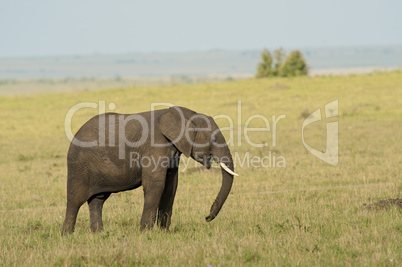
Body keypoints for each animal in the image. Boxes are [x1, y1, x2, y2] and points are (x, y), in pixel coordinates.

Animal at [61, 107, 237, 234]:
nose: (207, 216)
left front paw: (164, 233)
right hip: (78, 165)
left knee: (98, 200)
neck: (184, 114)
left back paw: (99, 234)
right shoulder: (155, 146)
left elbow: (171, 186)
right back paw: (68, 235)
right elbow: (156, 185)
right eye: (213, 139)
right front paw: (146, 233)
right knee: (75, 200)